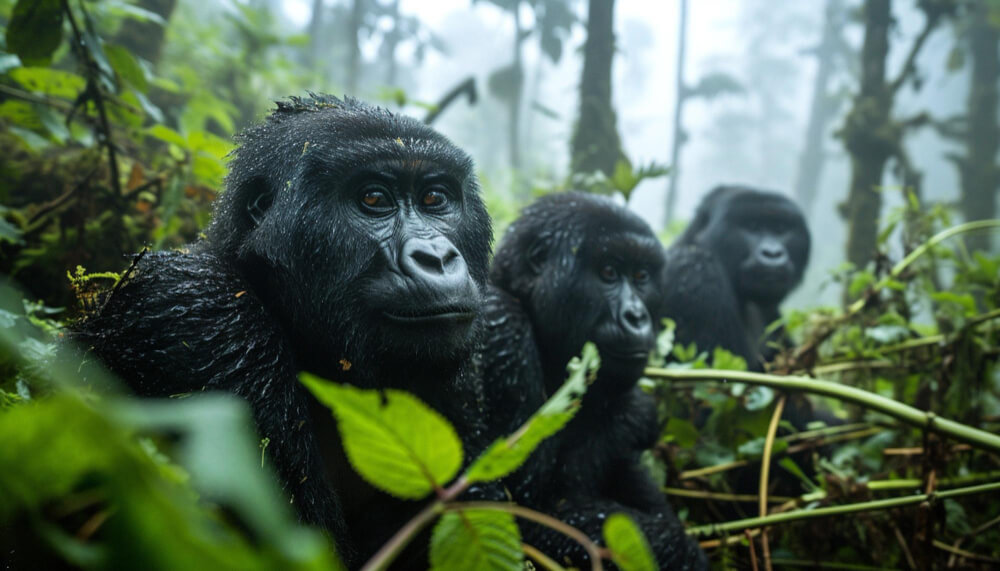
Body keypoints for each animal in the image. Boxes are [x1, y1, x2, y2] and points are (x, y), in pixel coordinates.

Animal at [480, 193, 708, 571]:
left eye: (641, 276)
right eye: (608, 273)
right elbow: (522, 508)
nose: (637, 316)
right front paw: (684, 549)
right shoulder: (502, 327)